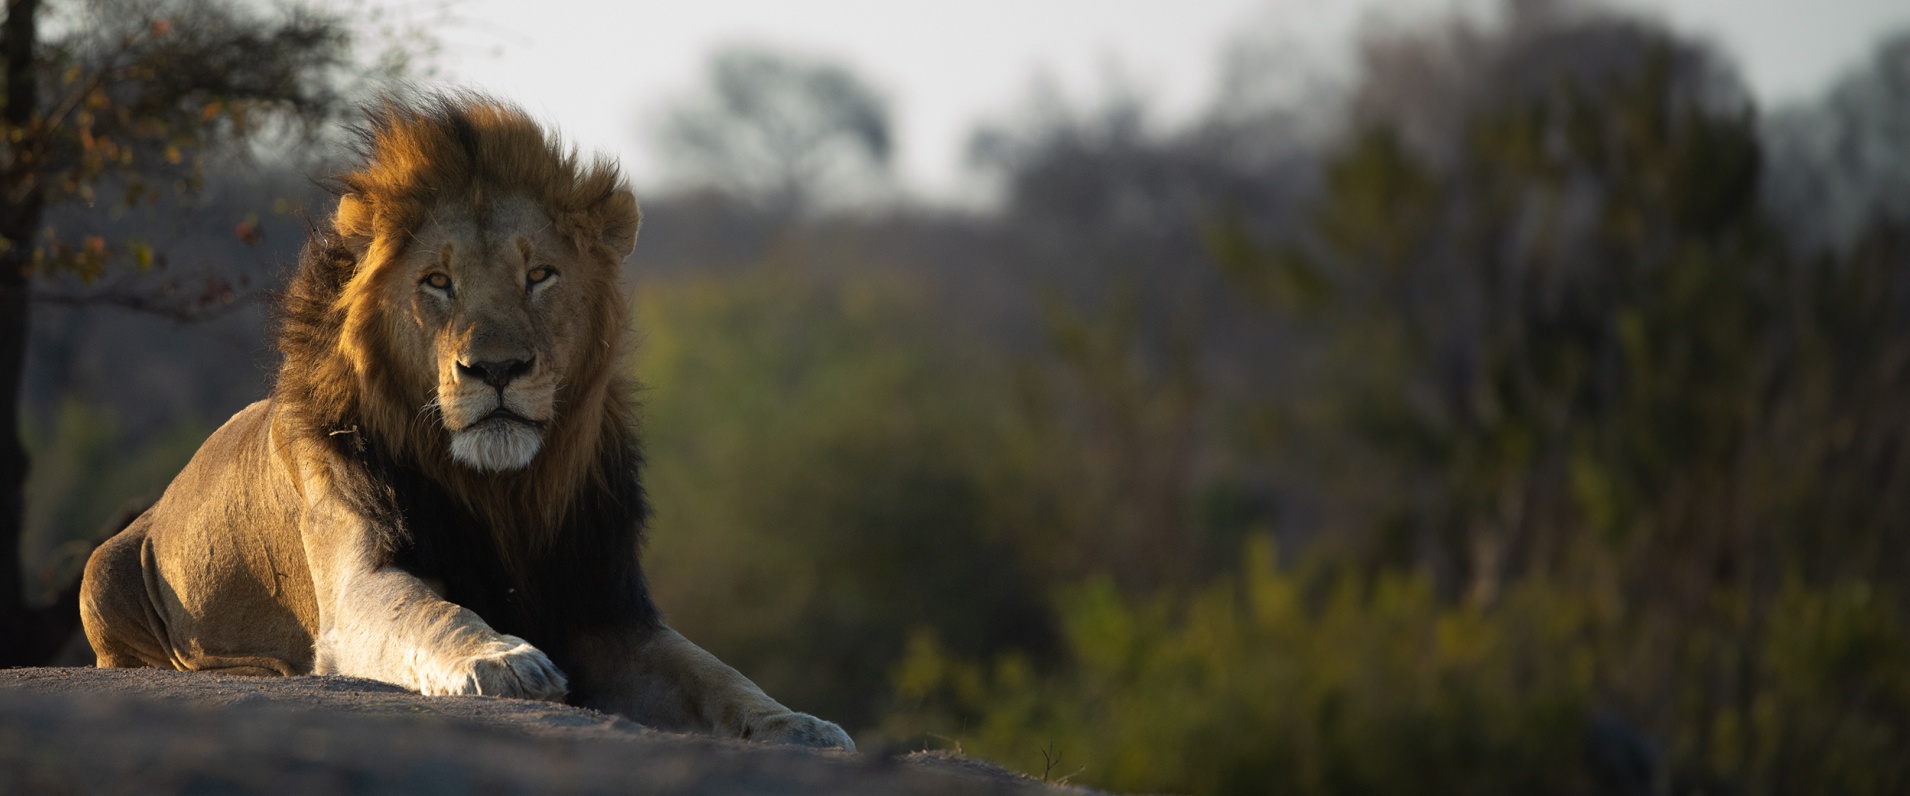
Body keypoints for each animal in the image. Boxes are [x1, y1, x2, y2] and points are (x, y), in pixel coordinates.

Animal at [77, 93, 854, 750]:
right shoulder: (359, 577)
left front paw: (801, 726)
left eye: (539, 275)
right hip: (102, 571)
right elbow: (427, 612)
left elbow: (717, 673)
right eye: (437, 283)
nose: (497, 368)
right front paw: (504, 659)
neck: (500, 491)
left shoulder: (606, 603)